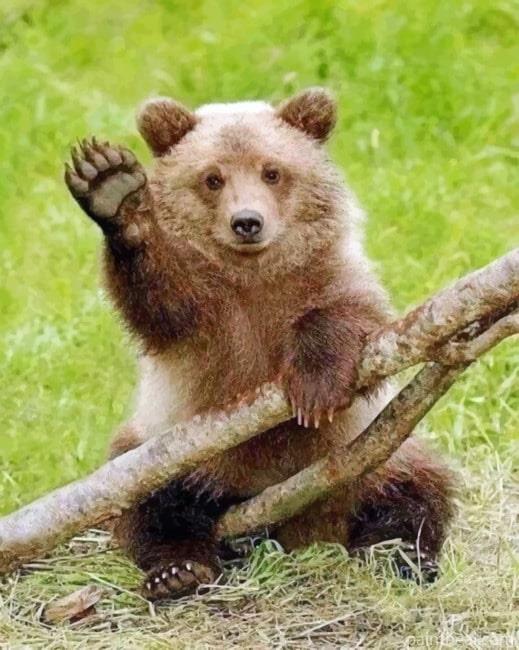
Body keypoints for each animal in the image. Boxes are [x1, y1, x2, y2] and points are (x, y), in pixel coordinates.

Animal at [65, 88, 455, 600]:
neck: (254, 276)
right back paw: (178, 570)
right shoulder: (206, 316)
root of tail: (299, 528)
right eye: (212, 178)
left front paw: (315, 386)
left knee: (417, 487)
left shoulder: (327, 277)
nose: (247, 221)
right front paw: (114, 189)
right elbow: (161, 303)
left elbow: (354, 320)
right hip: (175, 453)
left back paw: (403, 556)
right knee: (150, 499)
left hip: (371, 455)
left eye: (273, 171)